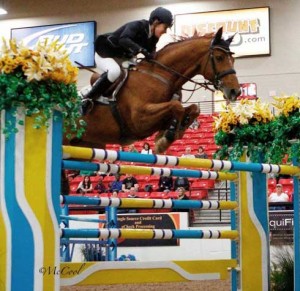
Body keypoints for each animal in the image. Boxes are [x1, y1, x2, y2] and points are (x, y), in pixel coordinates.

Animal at [66, 27, 241, 154]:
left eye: (233, 59)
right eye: (219, 58)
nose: (235, 92)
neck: (161, 75)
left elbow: (193, 109)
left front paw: (170, 133)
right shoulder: (139, 119)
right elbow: (176, 107)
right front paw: (165, 139)